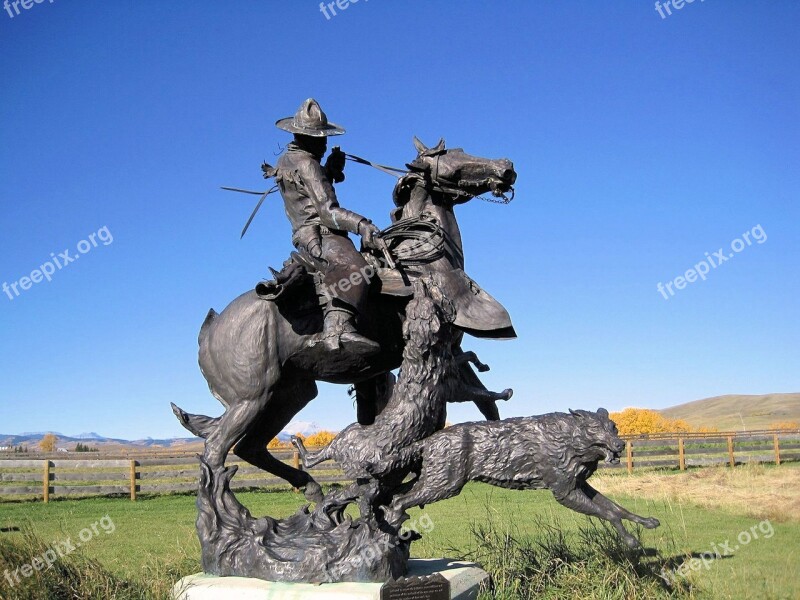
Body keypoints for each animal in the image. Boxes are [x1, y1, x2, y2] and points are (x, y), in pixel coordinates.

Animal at [172, 137, 516, 502]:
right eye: (451, 158)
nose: (506, 168)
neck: (423, 264)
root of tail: (210, 332)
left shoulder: (415, 362)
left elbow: (482, 404)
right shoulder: (442, 350)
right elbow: (471, 402)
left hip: (289, 394)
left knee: (249, 448)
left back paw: (311, 489)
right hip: (252, 398)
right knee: (216, 449)